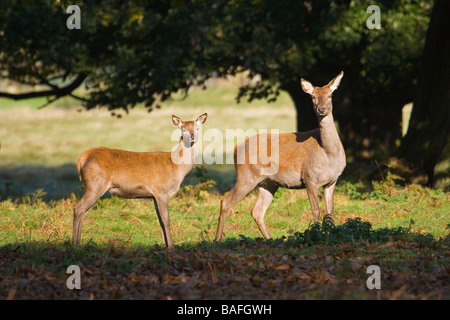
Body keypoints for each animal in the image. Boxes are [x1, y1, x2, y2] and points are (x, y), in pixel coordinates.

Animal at [73, 113, 207, 248]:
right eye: (183, 129)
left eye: (197, 128)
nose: (193, 137)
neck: (176, 167)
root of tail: (82, 157)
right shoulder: (162, 191)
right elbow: (166, 220)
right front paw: (171, 246)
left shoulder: (154, 195)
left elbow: (160, 221)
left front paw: (164, 245)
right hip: (95, 184)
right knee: (78, 208)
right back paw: (75, 244)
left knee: (83, 211)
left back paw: (78, 243)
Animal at [214, 72, 344, 241]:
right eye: (313, 96)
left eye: (330, 95)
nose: (321, 109)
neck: (328, 154)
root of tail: (235, 148)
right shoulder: (309, 178)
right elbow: (316, 210)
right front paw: (316, 234)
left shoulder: (332, 181)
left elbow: (330, 212)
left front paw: (332, 235)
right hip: (246, 176)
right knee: (226, 202)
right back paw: (217, 240)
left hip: (268, 183)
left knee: (257, 211)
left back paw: (270, 239)